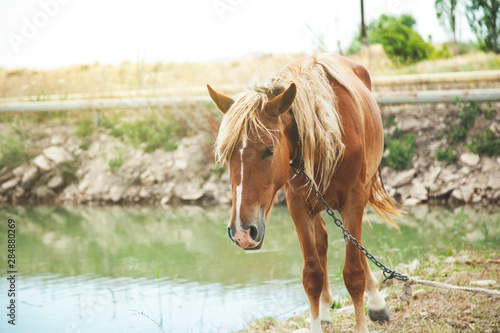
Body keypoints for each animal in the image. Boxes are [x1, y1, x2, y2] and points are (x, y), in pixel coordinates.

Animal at [206, 53, 398, 332]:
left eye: (269, 150)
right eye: (226, 155)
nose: (242, 232)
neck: (326, 132)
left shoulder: (354, 201)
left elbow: (354, 273)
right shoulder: (298, 206)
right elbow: (312, 275)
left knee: (354, 246)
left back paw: (375, 303)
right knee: (323, 243)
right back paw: (327, 310)